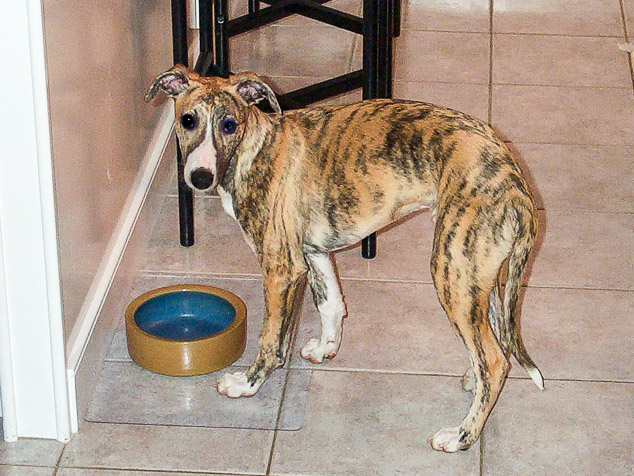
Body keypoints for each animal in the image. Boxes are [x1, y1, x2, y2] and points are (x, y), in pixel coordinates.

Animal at [146, 65, 540, 452]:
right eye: (187, 120)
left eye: (229, 124)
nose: (200, 178)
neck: (253, 149)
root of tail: (514, 181)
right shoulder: (312, 253)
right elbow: (331, 304)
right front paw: (326, 347)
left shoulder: (279, 267)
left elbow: (269, 339)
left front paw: (247, 383)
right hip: (480, 275)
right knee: (495, 344)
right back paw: (472, 382)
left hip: (451, 270)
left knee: (494, 361)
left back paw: (461, 436)